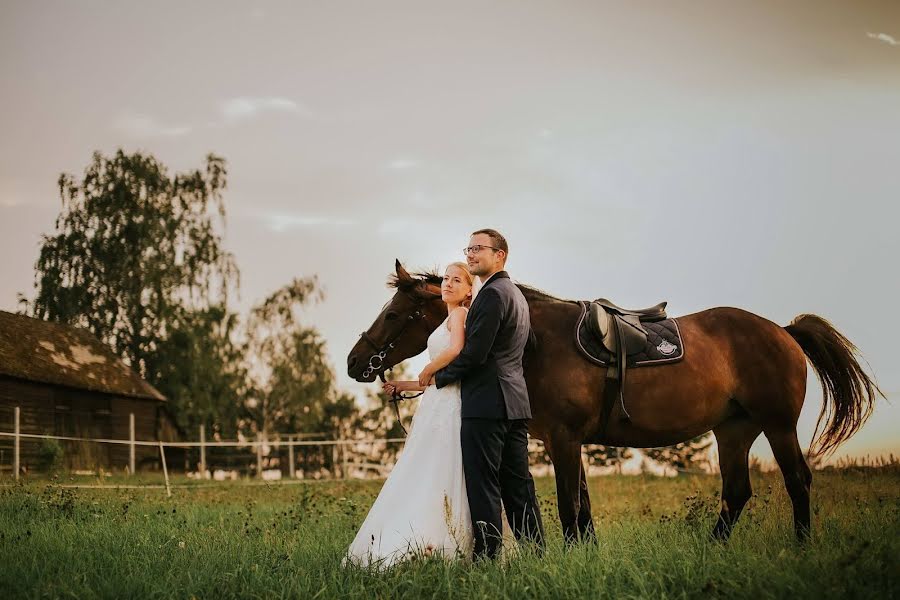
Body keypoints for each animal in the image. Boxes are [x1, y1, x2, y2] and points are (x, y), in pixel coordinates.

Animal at [348, 260, 884, 540]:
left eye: (394, 314)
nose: (355, 363)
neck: (538, 340)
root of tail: (784, 331)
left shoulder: (564, 440)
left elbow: (569, 507)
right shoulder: (569, 442)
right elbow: (582, 509)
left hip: (777, 425)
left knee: (797, 482)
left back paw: (801, 547)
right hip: (733, 430)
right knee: (736, 493)